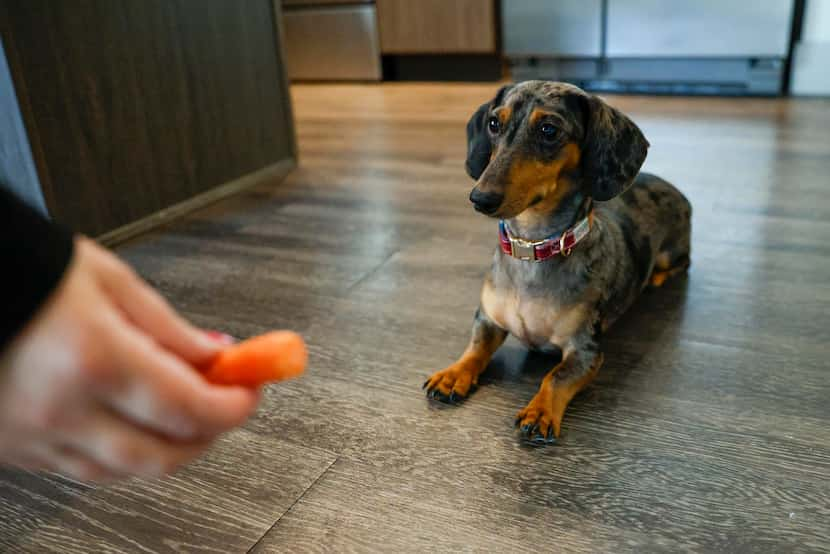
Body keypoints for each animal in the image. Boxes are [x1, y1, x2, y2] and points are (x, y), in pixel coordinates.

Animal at [426, 81, 692, 444]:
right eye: (494, 123)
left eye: (549, 130)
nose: (480, 198)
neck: (533, 248)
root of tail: (674, 188)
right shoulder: (488, 319)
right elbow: (475, 349)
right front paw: (453, 374)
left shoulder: (586, 350)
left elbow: (555, 376)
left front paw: (540, 411)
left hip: (671, 252)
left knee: (682, 263)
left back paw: (657, 278)